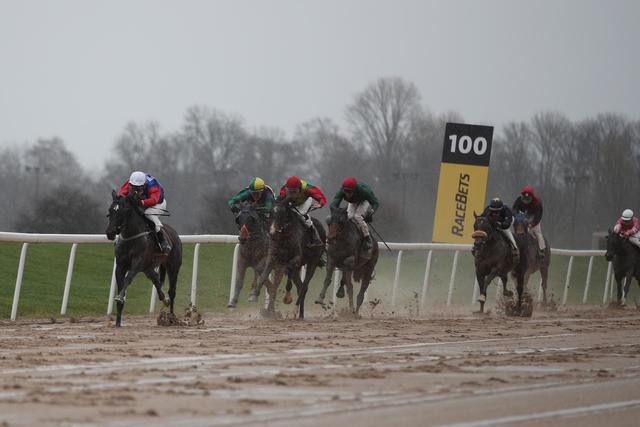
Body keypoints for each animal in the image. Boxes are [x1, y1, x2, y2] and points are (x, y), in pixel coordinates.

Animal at [104, 191, 181, 328]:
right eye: (110, 210)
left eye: (123, 211)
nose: (110, 232)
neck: (131, 237)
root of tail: (174, 234)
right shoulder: (120, 266)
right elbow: (121, 284)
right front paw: (118, 322)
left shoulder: (137, 264)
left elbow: (127, 279)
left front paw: (119, 297)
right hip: (148, 268)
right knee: (156, 280)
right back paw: (164, 300)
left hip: (173, 267)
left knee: (172, 291)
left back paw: (172, 317)